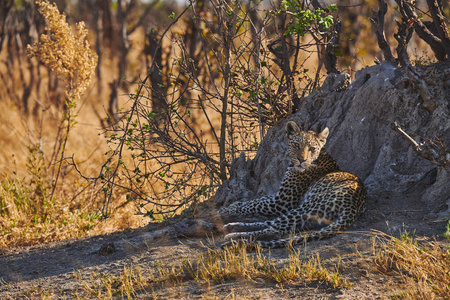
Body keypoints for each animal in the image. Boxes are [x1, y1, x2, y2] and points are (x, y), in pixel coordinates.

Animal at [220, 120, 368, 248]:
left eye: (311, 148)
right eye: (297, 145)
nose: (301, 159)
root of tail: (353, 206)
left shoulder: (282, 202)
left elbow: (253, 204)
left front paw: (226, 210)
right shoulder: (279, 195)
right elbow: (256, 200)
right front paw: (232, 206)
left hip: (306, 207)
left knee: (274, 230)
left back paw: (234, 236)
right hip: (310, 217)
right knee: (271, 224)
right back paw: (232, 226)